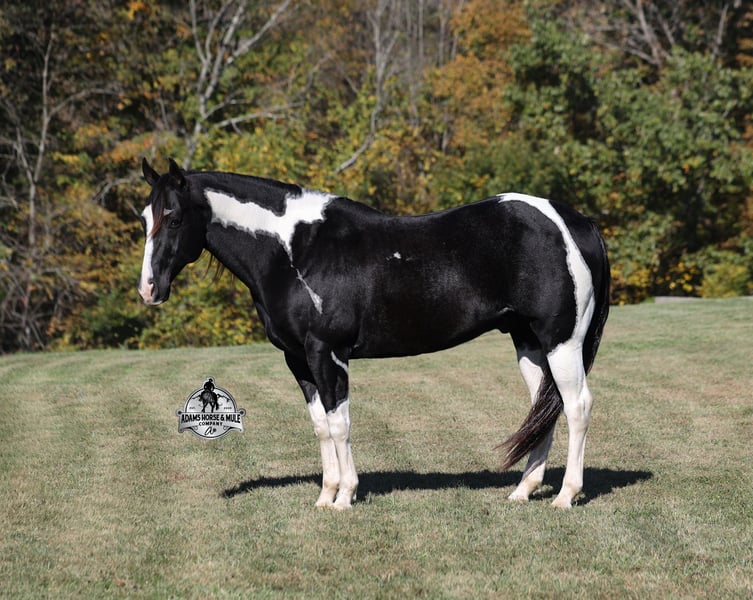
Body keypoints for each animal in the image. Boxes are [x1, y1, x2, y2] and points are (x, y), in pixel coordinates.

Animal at [138, 158, 610, 510]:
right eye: (145, 217)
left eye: (174, 217)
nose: (149, 289)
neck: (295, 251)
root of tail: (576, 222)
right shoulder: (298, 359)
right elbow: (321, 426)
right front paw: (325, 496)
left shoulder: (327, 353)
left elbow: (340, 423)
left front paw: (345, 496)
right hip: (528, 342)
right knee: (544, 407)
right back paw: (523, 491)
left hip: (561, 341)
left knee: (576, 406)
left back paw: (565, 496)